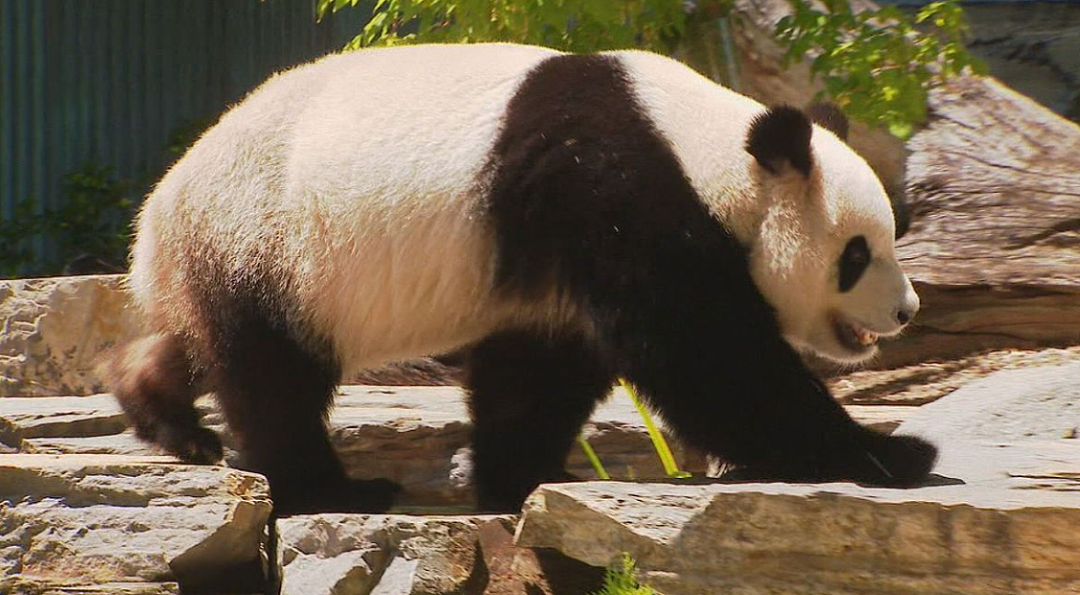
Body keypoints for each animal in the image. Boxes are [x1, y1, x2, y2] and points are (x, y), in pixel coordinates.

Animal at [109, 43, 937, 516]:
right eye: (857, 253)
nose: (906, 310)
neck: (710, 150)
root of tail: (153, 220)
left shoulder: (558, 252)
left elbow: (541, 368)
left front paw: (519, 477)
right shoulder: (616, 189)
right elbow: (710, 359)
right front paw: (893, 454)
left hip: (238, 253)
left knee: (203, 344)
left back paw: (164, 413)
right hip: (272, 240)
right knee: (275, 375)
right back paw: (330, 486)